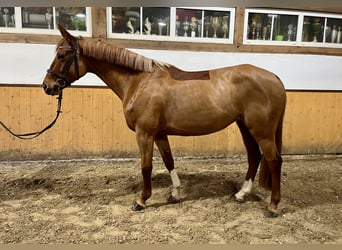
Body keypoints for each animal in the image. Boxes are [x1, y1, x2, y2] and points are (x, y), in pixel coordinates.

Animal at [42, 25, 286, 217]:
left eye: (61, 56)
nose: (47, 86)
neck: (139, 82)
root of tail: (274, 77)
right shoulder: (159, 134)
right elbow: (169, 161)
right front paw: (175, 194)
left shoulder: (144, 133)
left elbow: (146, 167)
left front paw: (141, 201)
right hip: (244, 126)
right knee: (254, 156)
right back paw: (241, 194)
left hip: (262, 131)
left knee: (274, 160)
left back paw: (273, 206)